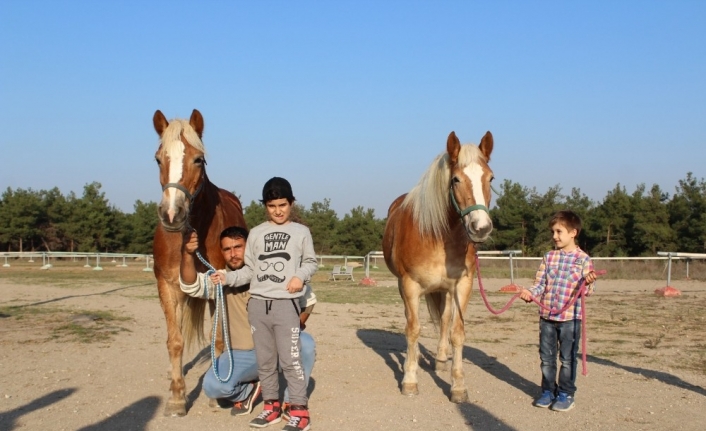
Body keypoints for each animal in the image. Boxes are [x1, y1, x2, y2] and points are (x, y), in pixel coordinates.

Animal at [151, 109, 245, 416]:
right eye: (158, 158)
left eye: (198, 159)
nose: (172, 214)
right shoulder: (167, 286)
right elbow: (175, 341)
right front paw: (177, 397)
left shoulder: (219, 287)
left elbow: (219, 339)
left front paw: (216, 392)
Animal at [382, 132, 492, 404]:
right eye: (455, 179)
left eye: (490, 178)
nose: (481, 228)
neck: (439, 235)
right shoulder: (410, 285)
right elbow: (413, 329)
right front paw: (409, 380)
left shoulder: (463, 285)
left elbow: (457, 332)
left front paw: (458, 386)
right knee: (413, 320)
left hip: (446, 290)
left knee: (443, 320)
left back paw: (441, 359)